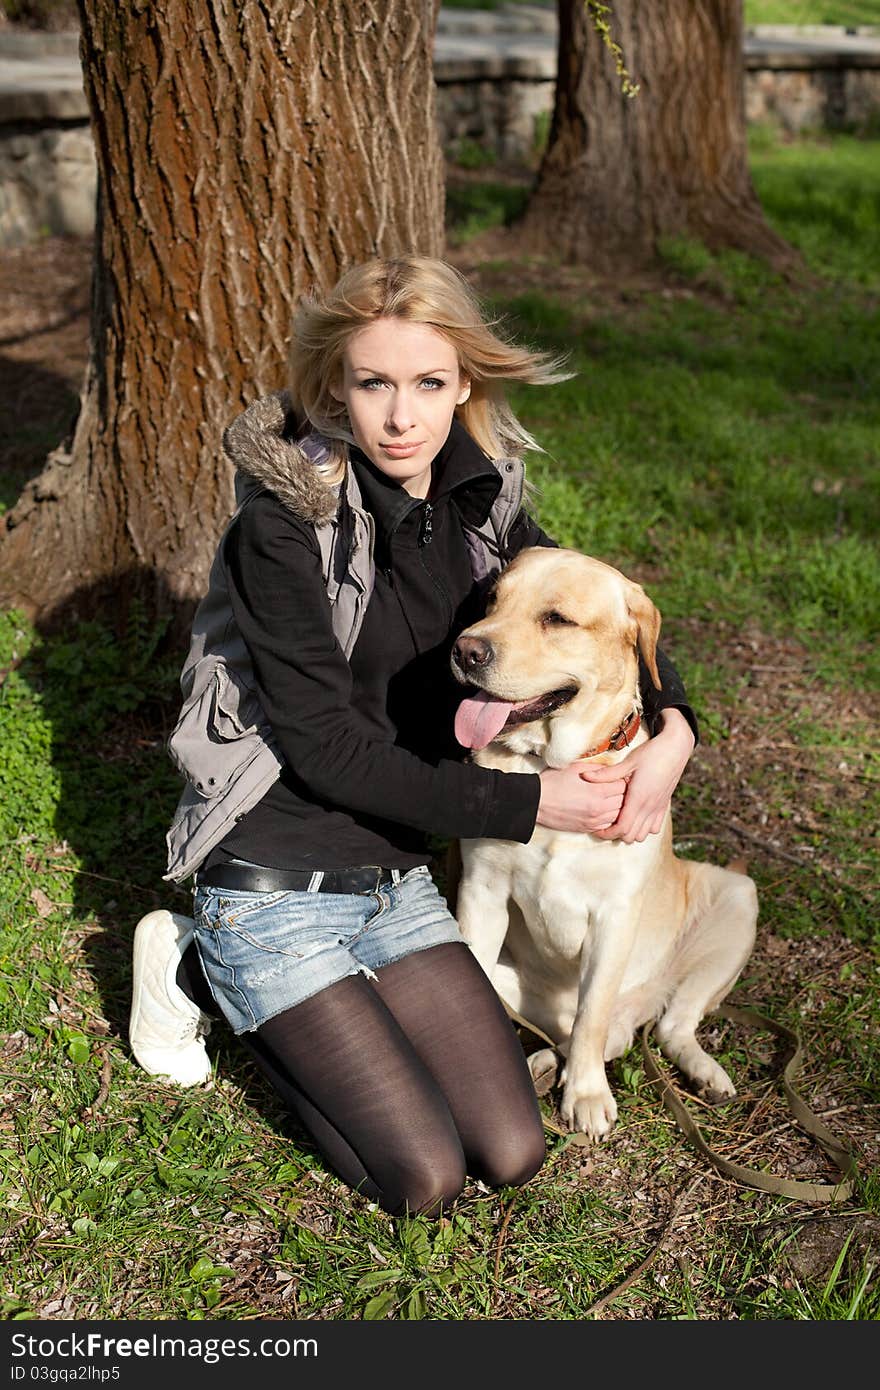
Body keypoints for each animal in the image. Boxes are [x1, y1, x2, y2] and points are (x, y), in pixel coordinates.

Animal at [450, 547, 756, 1145]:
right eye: (492, 600)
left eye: (557, 619)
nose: (465, 650)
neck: (550, 765)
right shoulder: (481, 892)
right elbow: (483, 985)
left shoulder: (613, 916)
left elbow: (591, 1015)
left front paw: (587, 1096)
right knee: (597, 1032)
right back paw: (545, 1065)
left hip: (736, 896)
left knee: (661, 1025)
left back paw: (701, 1074)